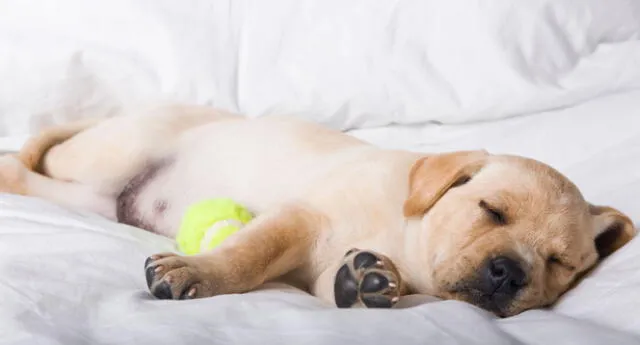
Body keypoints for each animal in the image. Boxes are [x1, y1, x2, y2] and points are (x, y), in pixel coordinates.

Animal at [1, 103, 636, 316]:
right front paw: (199, 272)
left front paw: (370, 279)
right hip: (110, 158)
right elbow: (250, 253)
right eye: (491, 211)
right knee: (21, 164)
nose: (509, 273)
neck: (408, 233)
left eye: (559, 263)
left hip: (93, 196)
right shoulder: (298, 218)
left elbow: (344, 276)